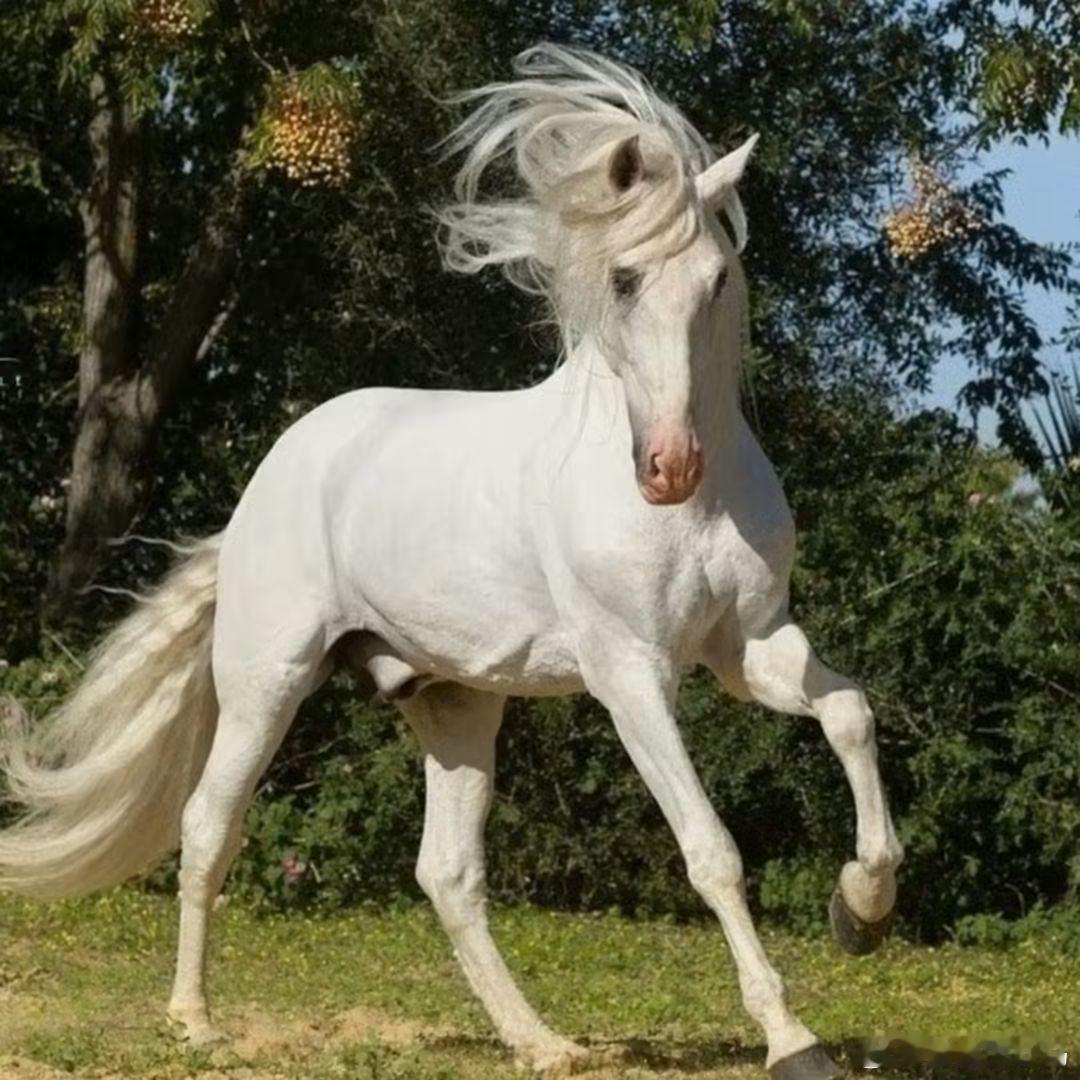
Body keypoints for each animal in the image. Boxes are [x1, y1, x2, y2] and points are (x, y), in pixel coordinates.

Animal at [0, 44, 903, 1080]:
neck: (695, 511)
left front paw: (861, 913)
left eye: (718, 279)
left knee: (449, 874)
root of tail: (271, 481)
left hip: (455, 699)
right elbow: (711, 850)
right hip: (269, 682)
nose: (668, 469)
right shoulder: (632, 675)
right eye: (624, 279)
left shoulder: (748, 649)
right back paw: (194, 1020)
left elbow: (850, 713)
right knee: (209, 825)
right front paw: (794, 1040)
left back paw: (542, 1042)